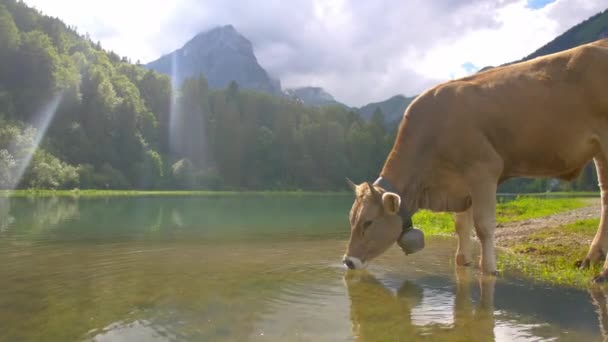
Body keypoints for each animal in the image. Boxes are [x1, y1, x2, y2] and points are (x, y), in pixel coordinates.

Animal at [344, 38, 608, 280]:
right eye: (351, 220)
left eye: (368, 222)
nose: (348, 261)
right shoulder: (459, 184)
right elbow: (462, 225)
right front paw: (462, 261)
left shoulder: (483, 169)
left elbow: (483, 225)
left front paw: (488, 268)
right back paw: (591, 260)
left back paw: (602, 271)